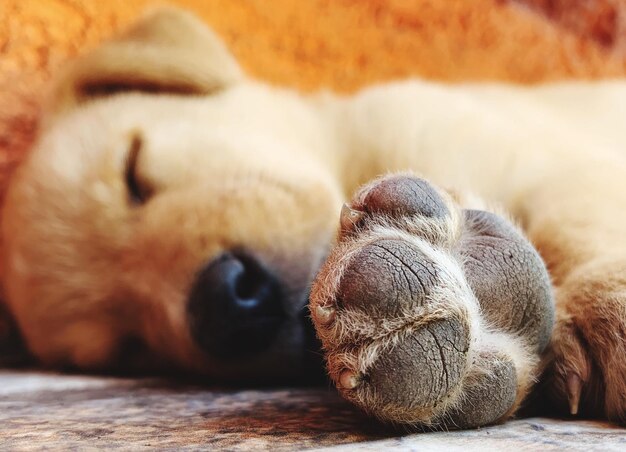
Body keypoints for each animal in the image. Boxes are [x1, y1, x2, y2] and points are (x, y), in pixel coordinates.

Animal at [1, 7, 624, 428]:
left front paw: (602, 303)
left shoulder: (549, 160)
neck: (350, 160)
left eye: (134, 171)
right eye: (127, 346)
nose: (224, 307)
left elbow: (575, 219)